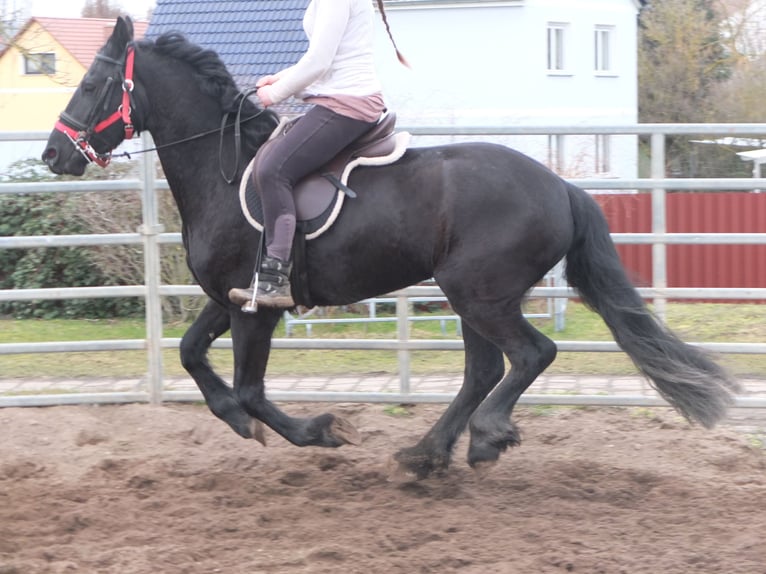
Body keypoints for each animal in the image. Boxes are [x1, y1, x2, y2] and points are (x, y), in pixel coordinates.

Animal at [45, 16, 740, 482]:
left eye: (92, 82)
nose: (54, 154)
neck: (226, 168)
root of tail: (561, 186)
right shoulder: (231, 296)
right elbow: (193, 356)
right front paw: (242, 422)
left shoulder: (258, 306)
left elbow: (250, 389)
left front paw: (323, 431)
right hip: (473, 295)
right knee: (484, 370)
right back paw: (427, 454)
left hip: (478, 293)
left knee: (530, 354)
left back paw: (482, 439)